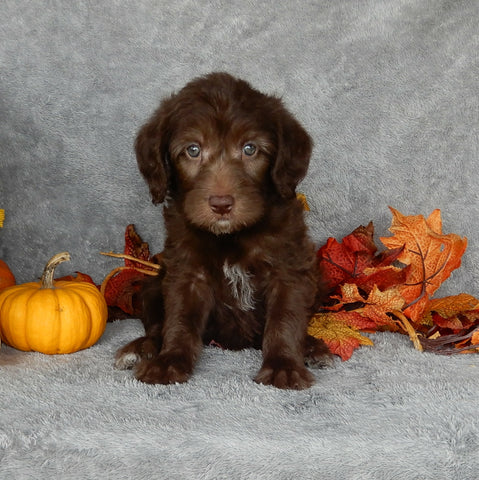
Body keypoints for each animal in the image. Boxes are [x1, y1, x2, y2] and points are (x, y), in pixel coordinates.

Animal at [116, 74, 334, 390]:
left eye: (250, 149)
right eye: (193, 150)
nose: (221, 205)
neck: (231, 235)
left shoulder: (289, 268)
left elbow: (285, 319)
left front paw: (283, 365)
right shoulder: (187, 271)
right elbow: (180, 320)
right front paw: (169, 361)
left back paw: (312, 347)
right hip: (152, 286)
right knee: (157, 324)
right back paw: (141, 348)